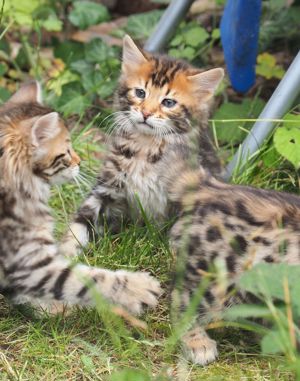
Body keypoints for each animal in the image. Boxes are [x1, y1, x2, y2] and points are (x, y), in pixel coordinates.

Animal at [0, 82, 161, 314]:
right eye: (67, 151)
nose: (80, 161)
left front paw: (48, 308)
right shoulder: (28, 261)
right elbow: (84, 279)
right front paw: (136, 288)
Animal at [61, 35, 224, 255]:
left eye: (169, 103)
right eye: (140, 93)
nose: (146, 113)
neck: (147, 148)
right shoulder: (106, 188)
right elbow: (79, 225)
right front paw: (63, 253)